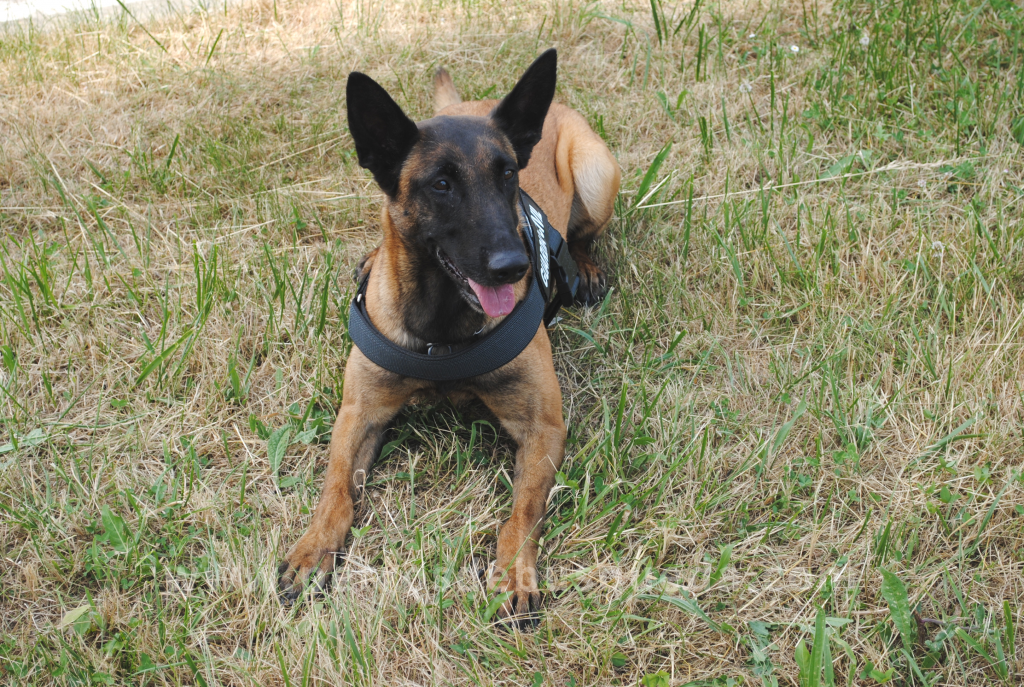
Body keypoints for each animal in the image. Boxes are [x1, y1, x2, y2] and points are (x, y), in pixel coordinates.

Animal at [276, 51, 618, 626]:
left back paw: (584, 267)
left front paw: (513, 576)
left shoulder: (542, 429)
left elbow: (522, 512)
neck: (442, 331)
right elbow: (336, 489)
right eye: (441, 185)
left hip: (597, 173)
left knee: (584, 236)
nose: (514, 266)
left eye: (508, 174)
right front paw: (312, 549)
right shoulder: (359, 413)